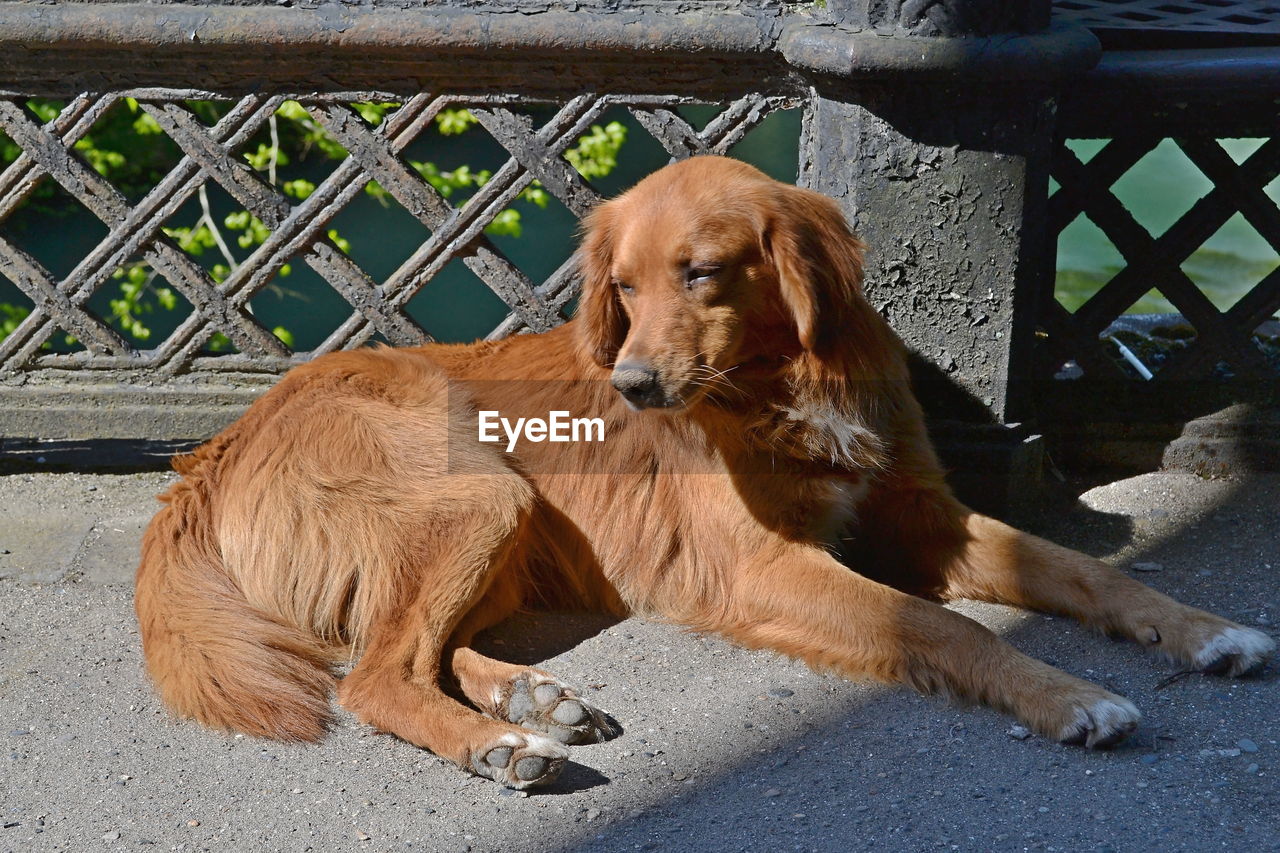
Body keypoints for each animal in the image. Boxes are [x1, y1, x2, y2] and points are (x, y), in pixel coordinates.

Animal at [135, 156, 1274, 788]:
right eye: (623, 286)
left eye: (702, 273)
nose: (633, 383)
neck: (783, 384)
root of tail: (213, 449)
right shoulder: (762, 568)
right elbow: (947, 629)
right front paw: (1069, 696)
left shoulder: (923, 516)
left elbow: (1089, 573)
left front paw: (1203, 630)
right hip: (484, 490)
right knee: (373, 674)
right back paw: (501, 745)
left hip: (499, 523)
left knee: (400, 649)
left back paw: (531, 700)